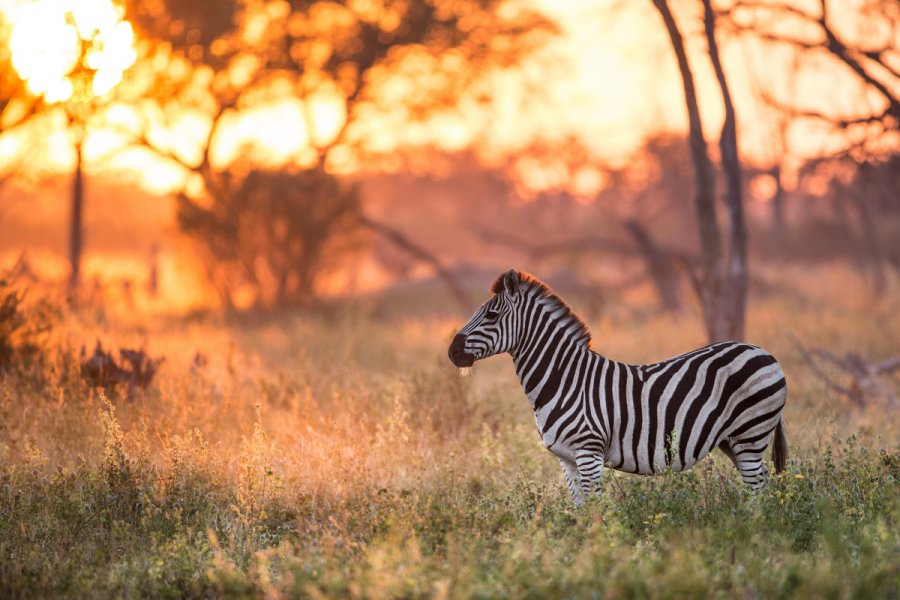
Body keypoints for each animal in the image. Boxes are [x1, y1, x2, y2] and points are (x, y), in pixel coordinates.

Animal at [446, 270, 784, 504]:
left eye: (491, 314)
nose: (452, 352)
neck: (564, 380)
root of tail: (764, 352)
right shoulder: (567, 460)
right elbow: (580, 510)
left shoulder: (588, 452)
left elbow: (597, 508)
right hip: (733, 440)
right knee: (764, 484)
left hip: (750, 433)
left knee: (758, 489)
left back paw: (753, 533)